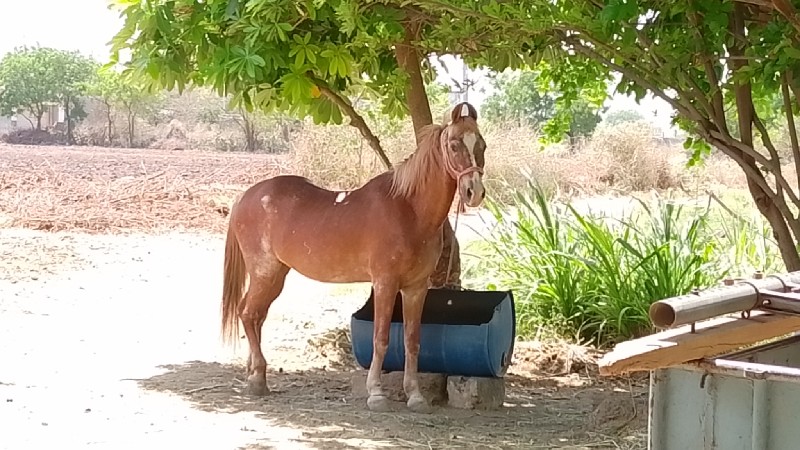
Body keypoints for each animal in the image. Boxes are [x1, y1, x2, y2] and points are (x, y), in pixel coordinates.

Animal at [219, 101, 488, 412]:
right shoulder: (385, 283)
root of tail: (246, 196)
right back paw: (257, 379)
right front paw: (376, 393)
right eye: (455, 145)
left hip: (276, 276)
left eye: (481, 144)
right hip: (265, 272)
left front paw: (415, 395)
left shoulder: (416, 288)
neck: (409, 209)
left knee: (254, 316)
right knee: (248, 313)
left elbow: (412, 340)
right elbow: (381, 338)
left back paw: (253, 372)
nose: (474, 192)